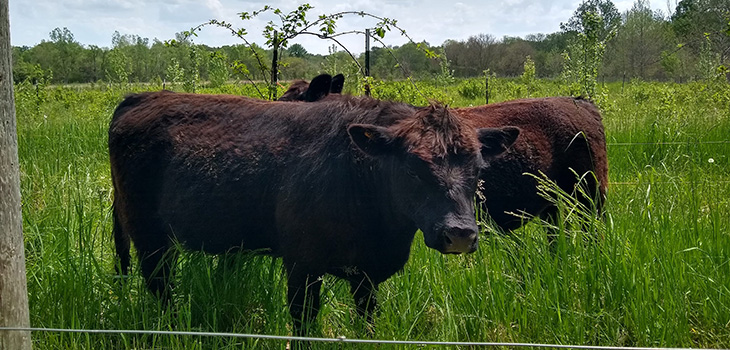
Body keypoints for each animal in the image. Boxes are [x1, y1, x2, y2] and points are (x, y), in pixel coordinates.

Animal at [108, 91, 516, 332]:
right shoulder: (302, 266)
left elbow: (366, 321)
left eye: (478, 168)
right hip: (149, 236)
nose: (459, 233)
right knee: (160, 287)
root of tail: (142, 96)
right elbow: (304, 322)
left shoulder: (366, 276)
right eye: (413, 168)